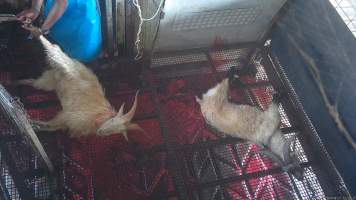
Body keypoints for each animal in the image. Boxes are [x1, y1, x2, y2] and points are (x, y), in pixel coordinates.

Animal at [15, 25, 143, 141]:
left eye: (114, 132)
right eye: (112, 120)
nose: (101, 132)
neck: (97, 117)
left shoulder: (66, 121)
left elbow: (51, 127)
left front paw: (33, 126)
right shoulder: (68, 115)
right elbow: (50, 125)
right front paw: (30, 122)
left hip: (48, 81)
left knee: (33, 82)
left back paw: (19, 82)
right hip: (62, 63)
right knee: (54, 49)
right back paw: (36, 32)